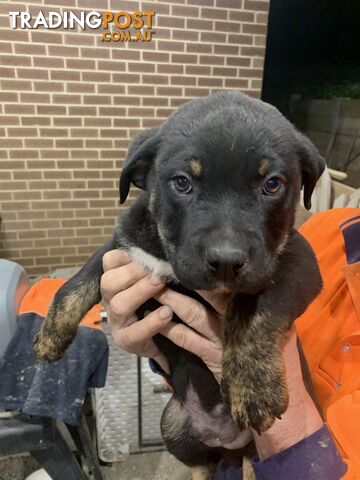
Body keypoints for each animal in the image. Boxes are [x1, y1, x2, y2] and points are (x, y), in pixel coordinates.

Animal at [33, 92, 324, 478]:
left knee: (252, 462)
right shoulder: (121, 246)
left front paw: (253, 388)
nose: (226, 261)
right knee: (202, 463)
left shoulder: (297, 261)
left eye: (272, 184)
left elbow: (254, 311)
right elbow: (75, 284)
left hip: (250, 444)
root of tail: (225, 441)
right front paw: (50, 339)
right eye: (182, 182)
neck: (166, 255)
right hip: (173, 423)